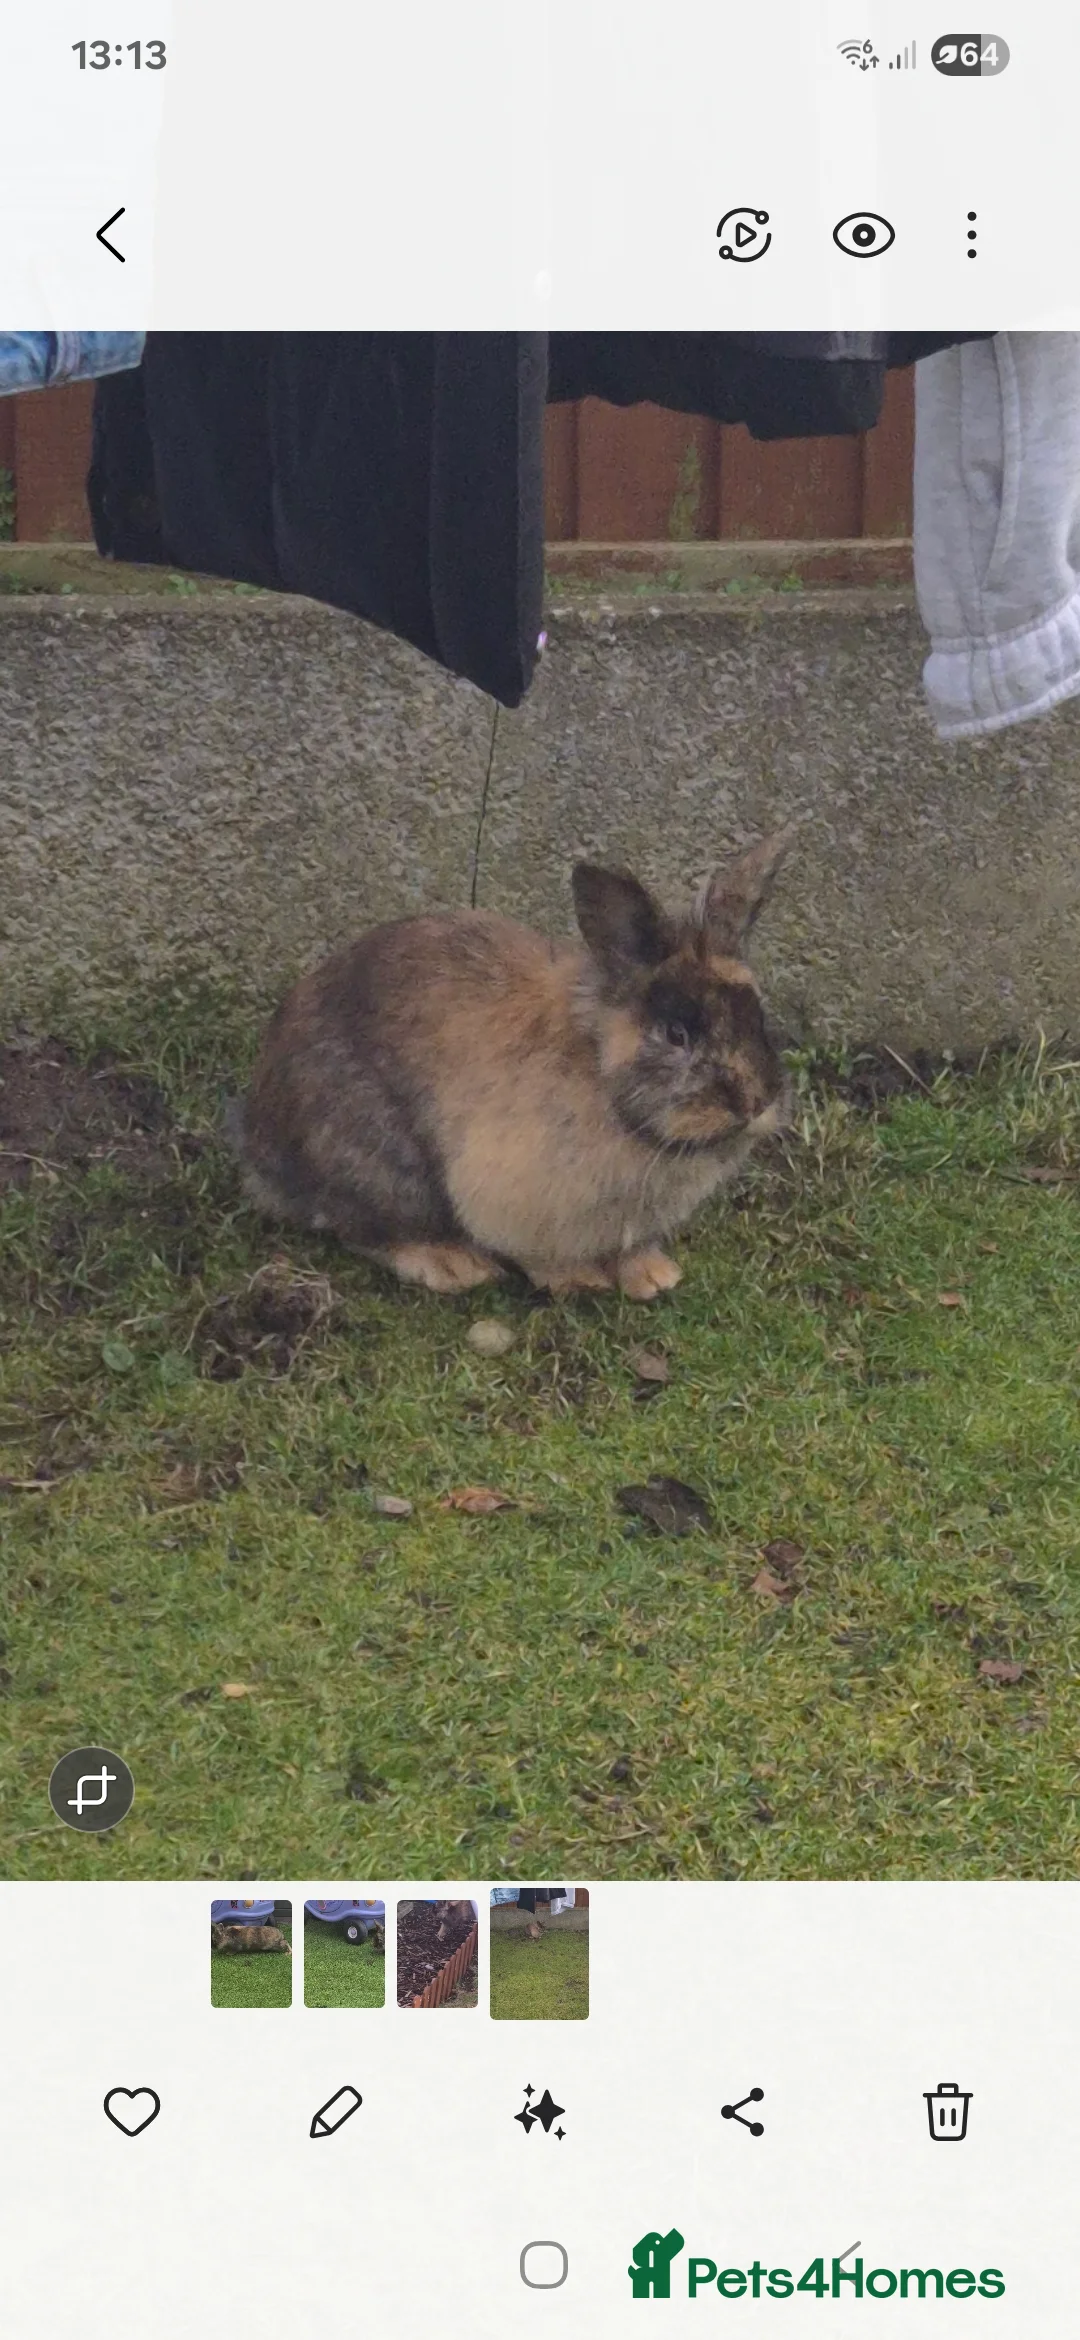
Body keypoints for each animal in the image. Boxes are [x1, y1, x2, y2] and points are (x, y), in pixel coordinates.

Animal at [231, 828, 795, 1302]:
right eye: (677, 1034)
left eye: (757, 1016)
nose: (754, 1103)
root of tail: (260, 1142)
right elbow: (539, 1254)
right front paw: (579, 1281)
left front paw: (653, 1276)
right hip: (383, 1166)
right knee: (364, 1227)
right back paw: (454, 1266)